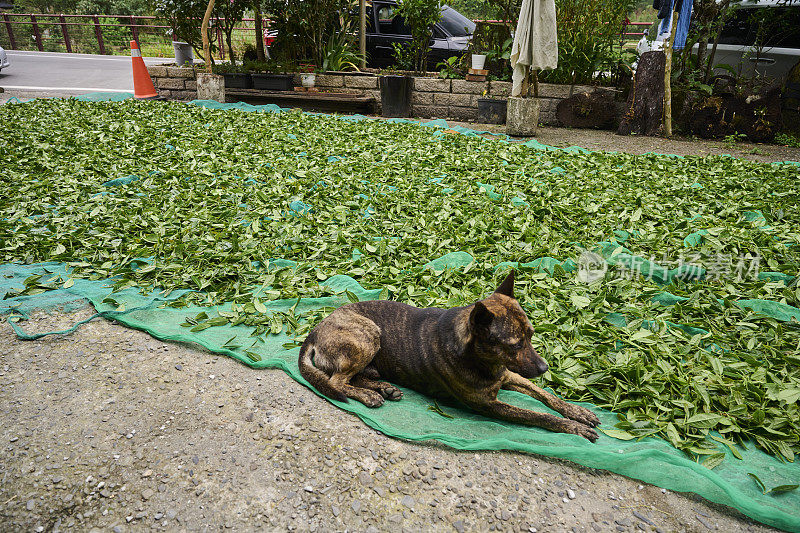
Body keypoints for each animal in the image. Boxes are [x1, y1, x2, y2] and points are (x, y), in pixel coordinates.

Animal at [300, 270, 600, 440]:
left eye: (532, 334)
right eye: (515, 345)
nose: (544, 368)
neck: (481, 359)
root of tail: (315, 331)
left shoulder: (509, 376)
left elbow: (547, 396)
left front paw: (578, 412)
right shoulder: (491, 405)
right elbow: (539, 416)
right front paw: (573, 427)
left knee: (352, 377)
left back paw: (384, 388)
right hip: (368, 335)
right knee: (338, 382)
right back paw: (369, 395)